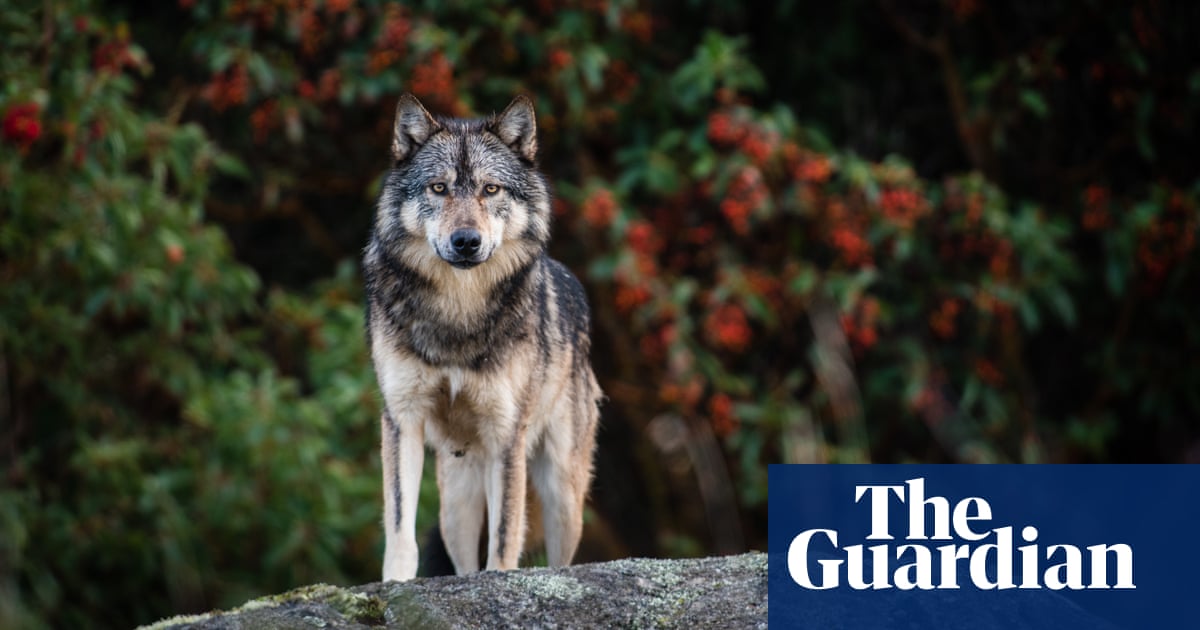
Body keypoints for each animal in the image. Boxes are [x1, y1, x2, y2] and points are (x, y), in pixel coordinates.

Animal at [363, 93, 602, 581]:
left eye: (491, 190)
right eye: (438, 188)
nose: (466, 241)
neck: (459, 311)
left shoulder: (506, 433)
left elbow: (505, 536)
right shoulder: (401, 419)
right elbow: (399, 525)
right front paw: (395, 583)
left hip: (562, 497)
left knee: (558, 557)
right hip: (456, 506)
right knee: (462, 561)